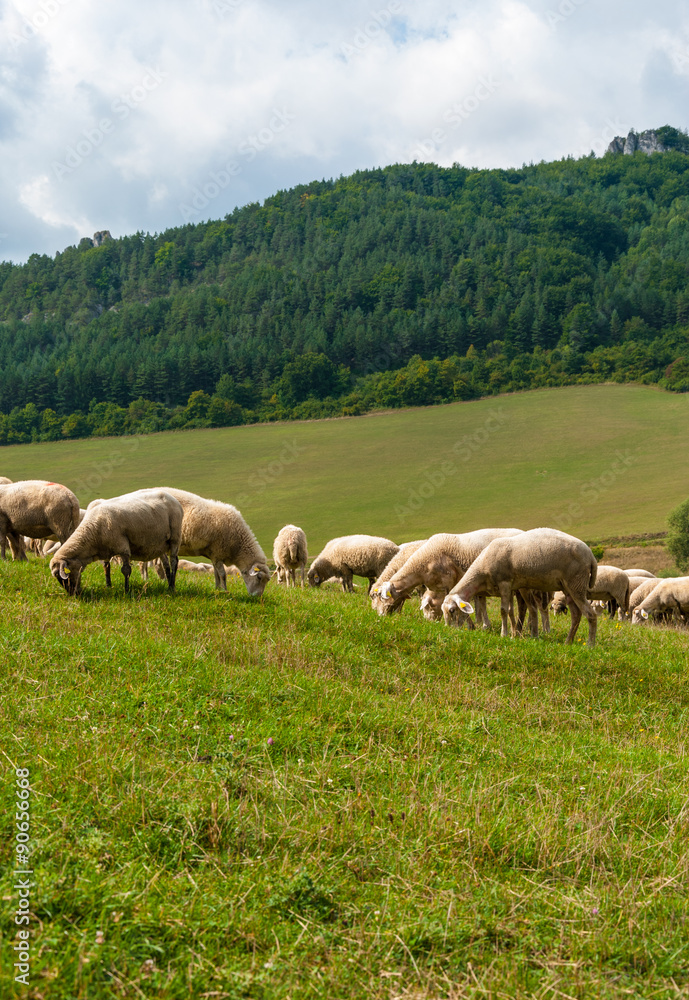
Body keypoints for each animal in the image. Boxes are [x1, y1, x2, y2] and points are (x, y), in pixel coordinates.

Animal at [49, 490, 183, 596]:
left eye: (60, 575)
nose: (73, 594)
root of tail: (172, 498)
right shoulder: (105, 550)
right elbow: (106, 567)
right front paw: (108, 586)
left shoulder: (122, 547)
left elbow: (126, 570)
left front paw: (127, 591)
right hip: (160, 544)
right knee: (166, 564)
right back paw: (168, 583)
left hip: (175, 537)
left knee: (174, 561)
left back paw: (172, 587)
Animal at [440, 528, 596, 644]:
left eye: (452, 610)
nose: (448, 631)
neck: (481, 568)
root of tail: (591, 556)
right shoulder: (513, 587)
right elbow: (511, 611)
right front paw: (515, 634)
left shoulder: (504, 583)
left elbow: (503, 610)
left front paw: (504, 634)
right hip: (568, 588)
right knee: (576, 614)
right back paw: (568, 642)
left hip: (577, 583)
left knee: (590, 614)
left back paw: (590, 644)